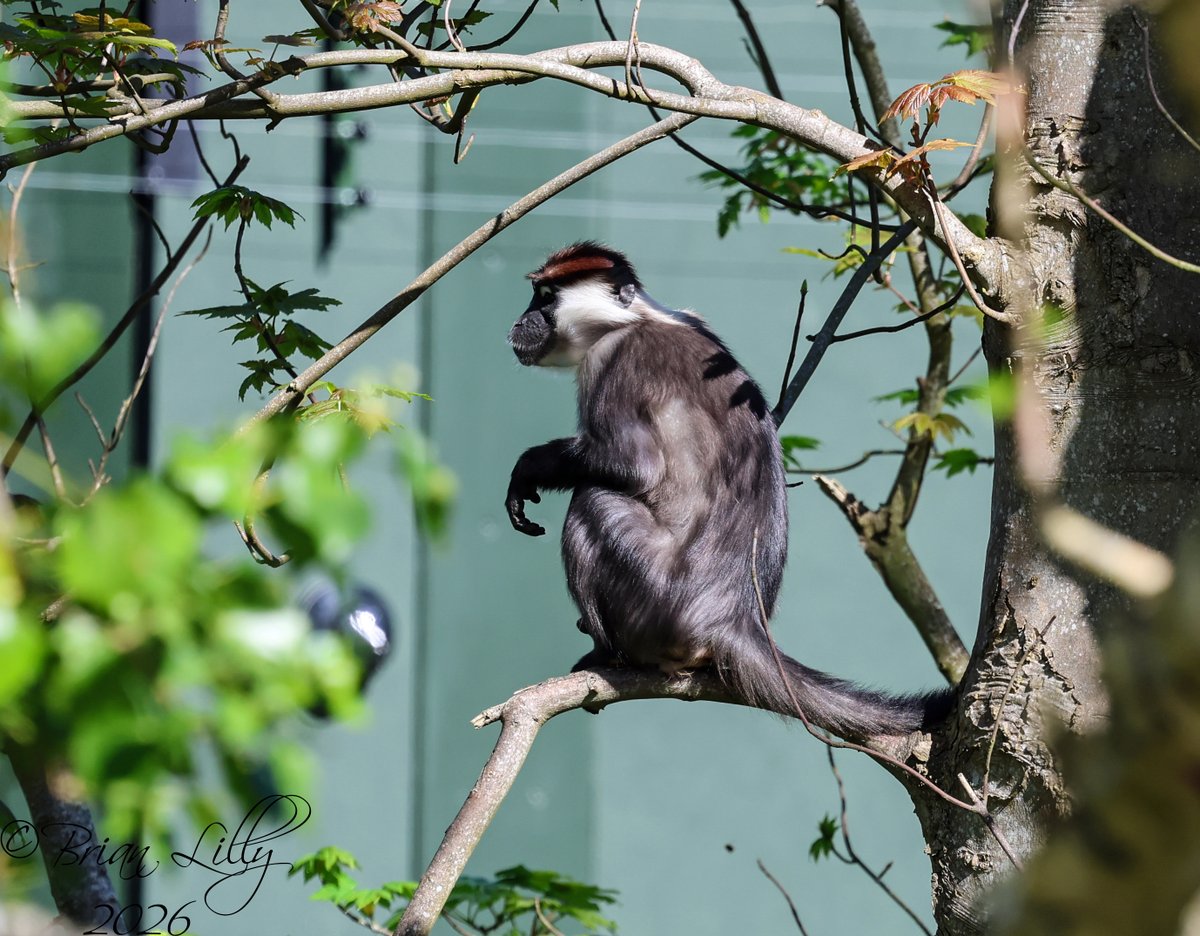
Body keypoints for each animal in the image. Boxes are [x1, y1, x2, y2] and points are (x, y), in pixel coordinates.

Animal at [505, 242, 953, 741]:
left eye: (545, 299)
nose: (519, 322)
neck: (637, 317)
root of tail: (733, 619)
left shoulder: (613, 356)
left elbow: (633, 465)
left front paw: (528, 469)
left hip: (654, 599)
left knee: (594, 500)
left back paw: (609, 656)